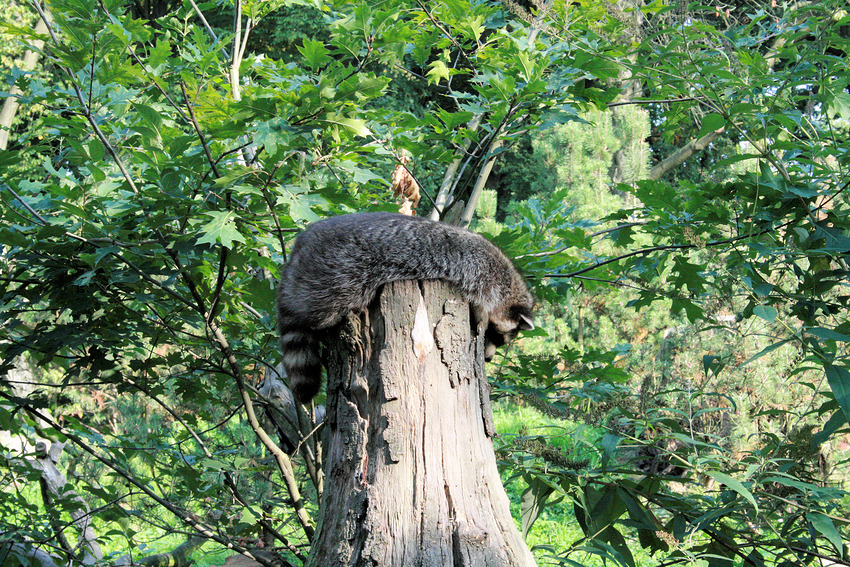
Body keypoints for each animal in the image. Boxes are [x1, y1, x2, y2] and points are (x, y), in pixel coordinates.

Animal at [274, 213, 532, 404]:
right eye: (498, 337)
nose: (488, 358)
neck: (509, 285)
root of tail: (298, 250)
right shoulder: (479, 274)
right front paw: (479, 315)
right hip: (335, 274)